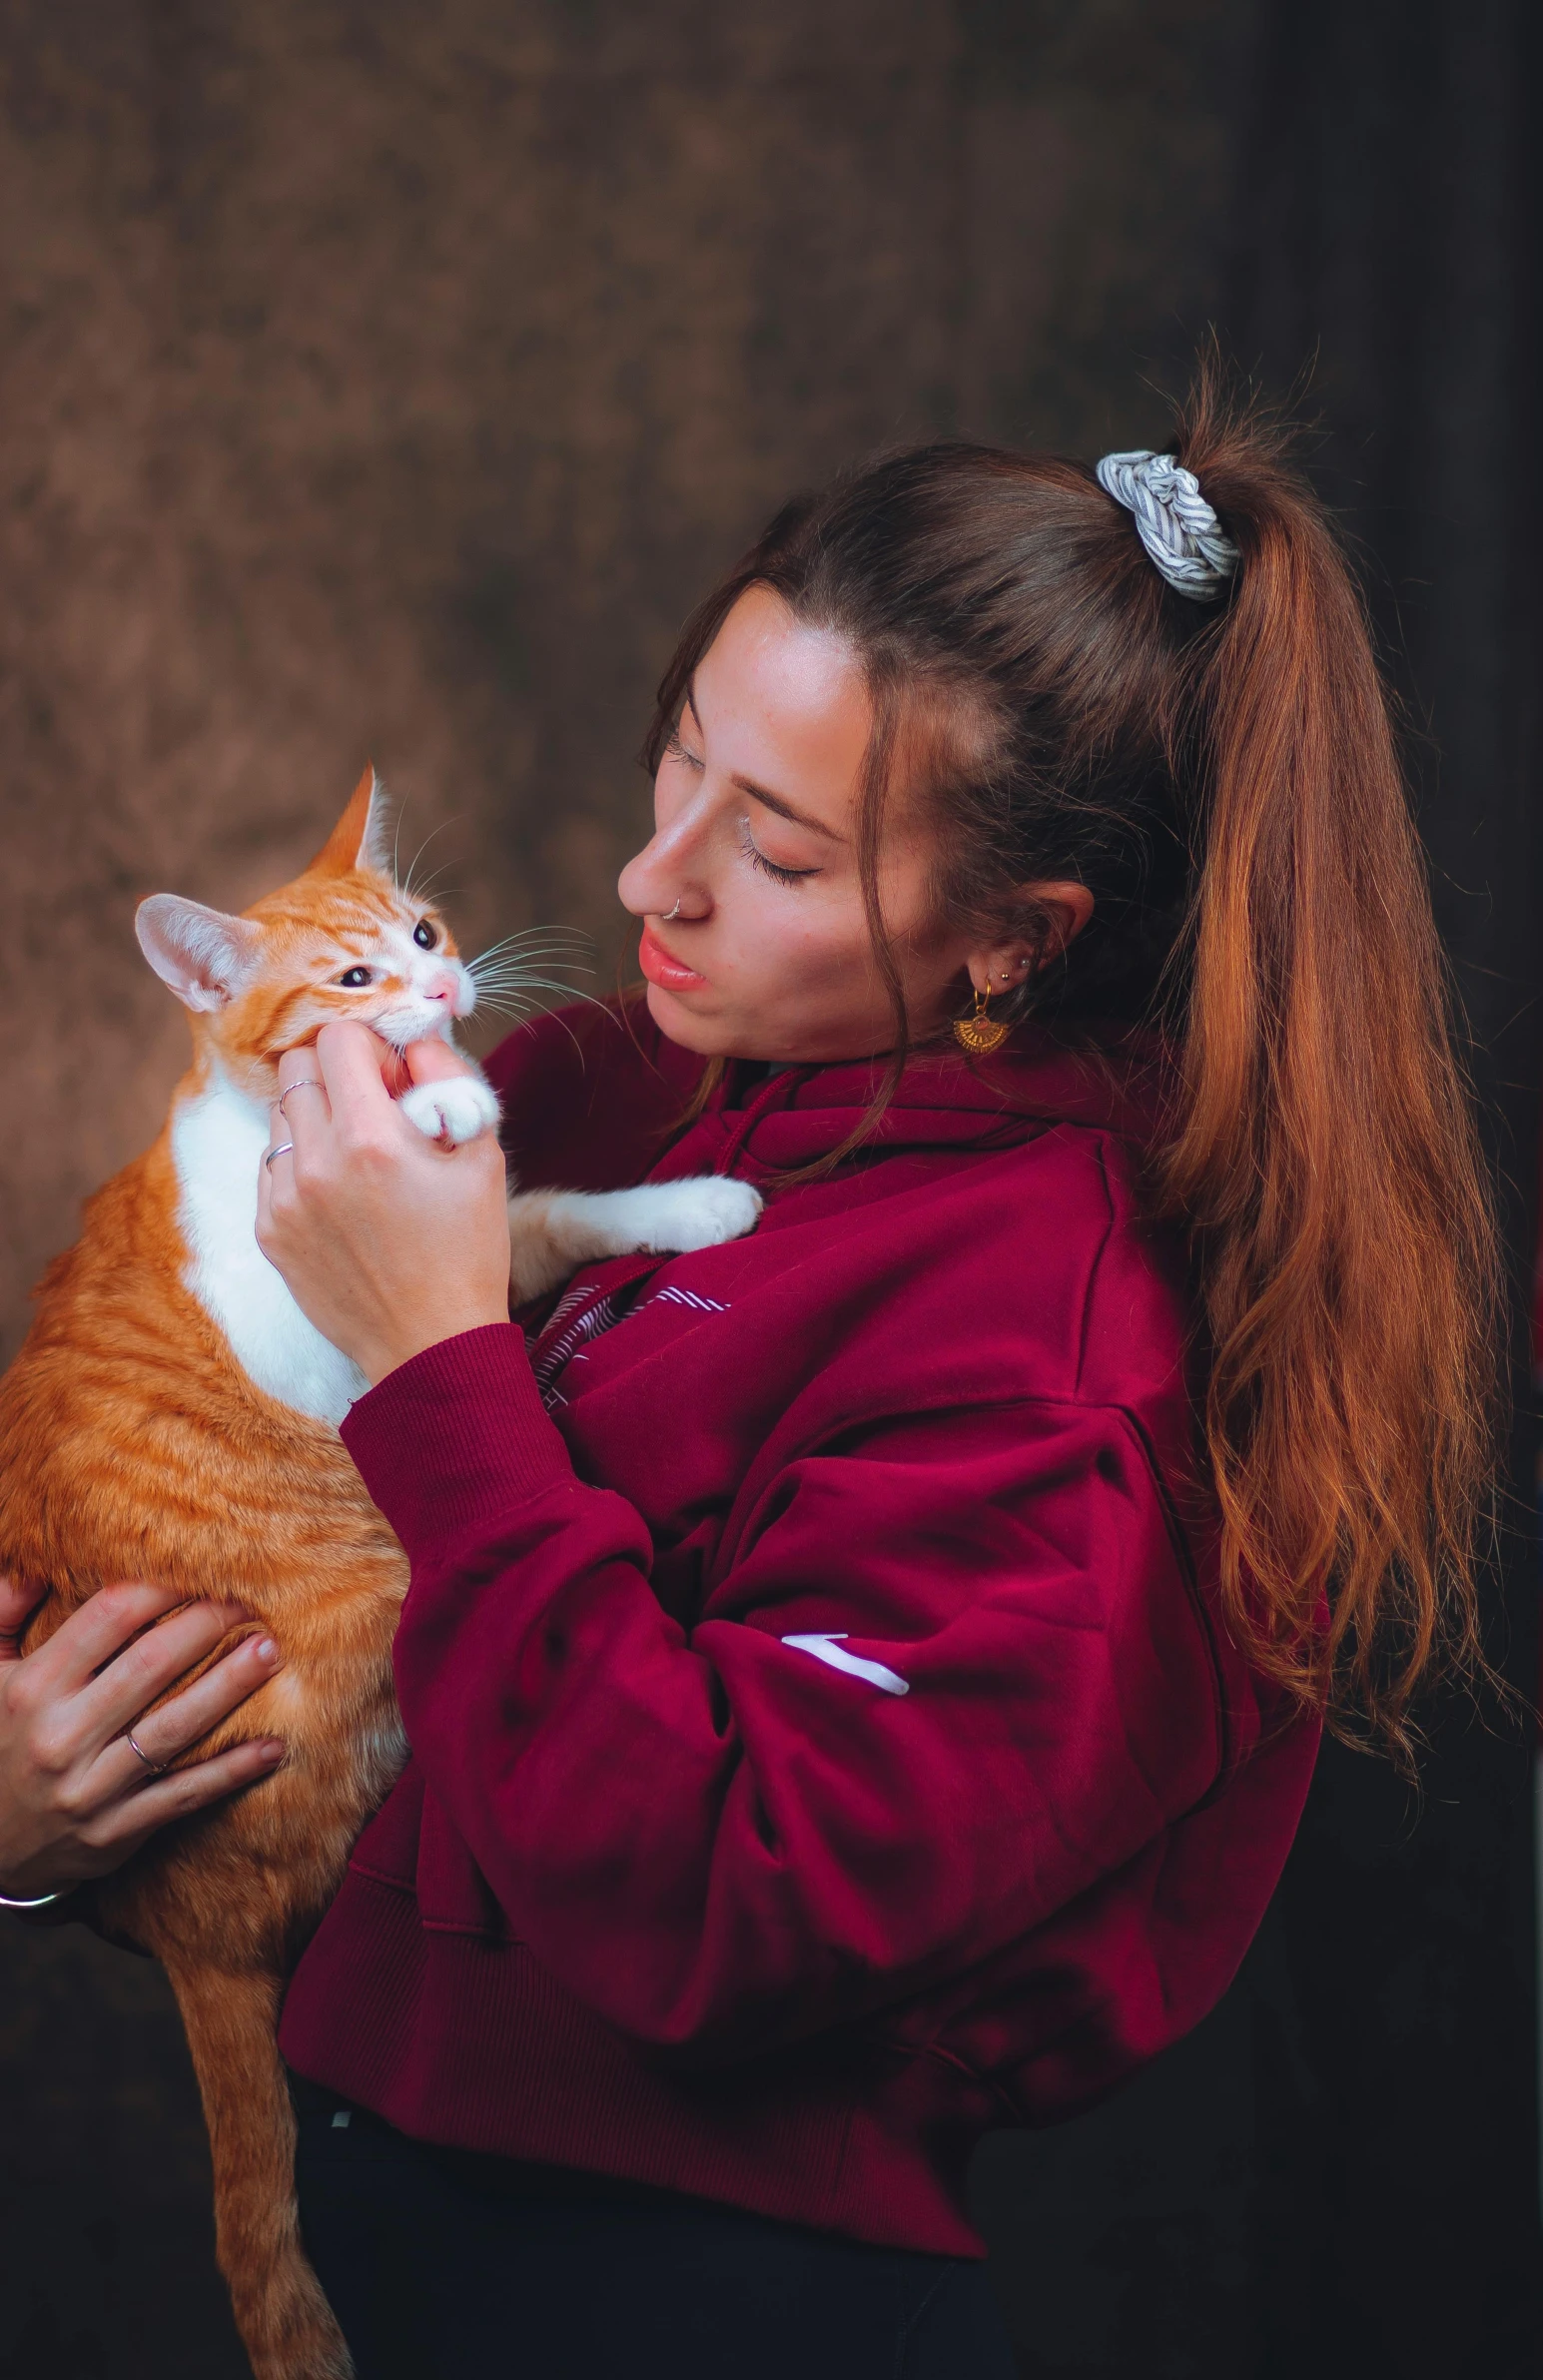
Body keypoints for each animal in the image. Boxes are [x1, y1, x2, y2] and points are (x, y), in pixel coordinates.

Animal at [0, 771, 757, 2370]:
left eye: (419, 930)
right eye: (352, 981)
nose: (447, 987)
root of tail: (181, 1920)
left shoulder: (500, 1234)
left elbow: (554, 1208)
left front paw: (693, 1207)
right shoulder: (321, 1348)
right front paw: (450, 1095)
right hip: (386, 1603)